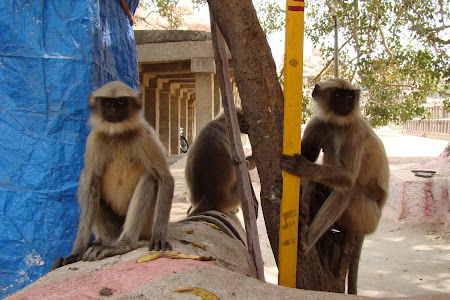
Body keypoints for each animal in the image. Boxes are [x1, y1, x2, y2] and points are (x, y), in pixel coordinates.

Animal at [51, 80, 173, 270]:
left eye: (121, 102)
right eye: (108, 103)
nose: (114, 110)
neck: (117, 133)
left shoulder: (145, 135)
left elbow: (164, 178)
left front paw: (159, 237)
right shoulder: (94, 139)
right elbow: (91, 183)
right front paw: (74, 254)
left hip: (146, 225)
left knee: (149, 178)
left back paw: (122, 244)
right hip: (114, 227)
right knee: (87, 181)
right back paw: (102, 241)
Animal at [280, 78, 388, 253]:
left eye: (350, 96)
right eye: (338, 95)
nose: (346, 103)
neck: (336, 125)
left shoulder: (354, 132)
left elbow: (349, 178)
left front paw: (303, 168)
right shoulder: (317, 123)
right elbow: (308, 154)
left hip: (368, 218)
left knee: (350, 189)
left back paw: (307, 240)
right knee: (316, 183)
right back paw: (304, 212)